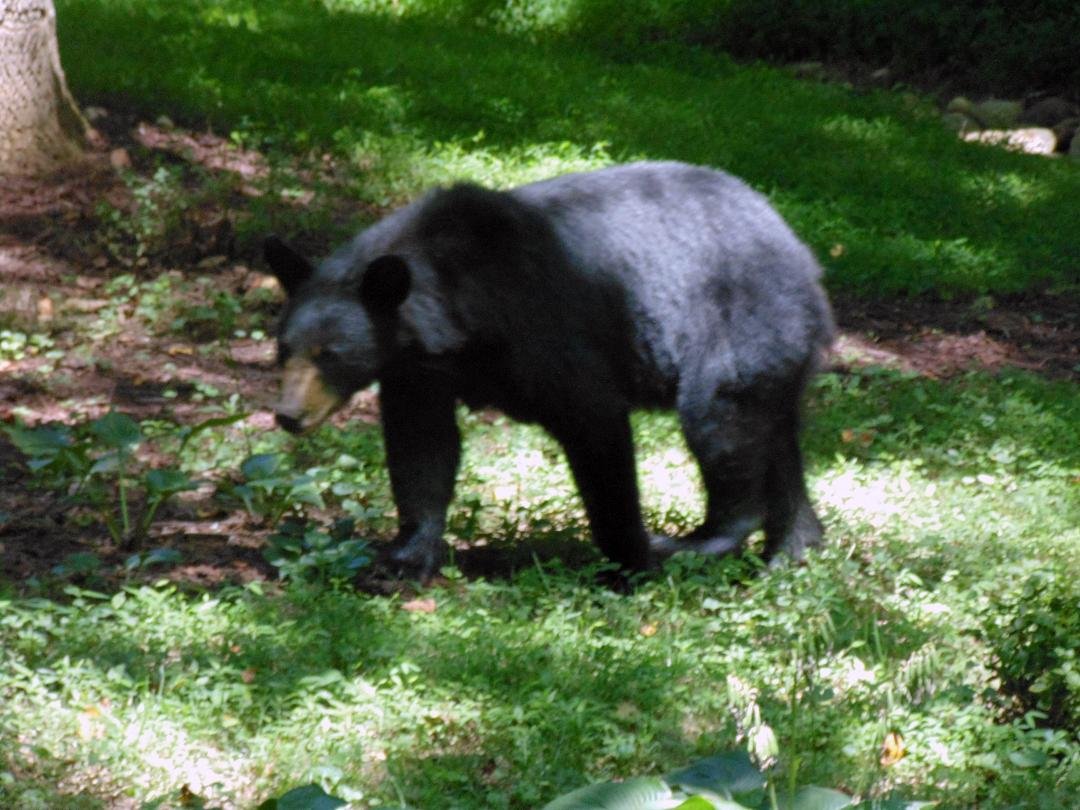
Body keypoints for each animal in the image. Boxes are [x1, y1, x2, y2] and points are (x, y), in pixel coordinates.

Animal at [264, 161, 834, 582]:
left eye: (330, 353)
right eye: (283, 348)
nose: (288, 415)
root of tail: (798, 250)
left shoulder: (547, 327)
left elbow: (594, 424)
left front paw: (628, 562)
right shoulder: (418, 371)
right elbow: (422, 447)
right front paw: (401, 559)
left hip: (737, 321)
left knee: (720, 421)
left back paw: (701, 539)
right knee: (777, 439)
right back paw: (794, 550)